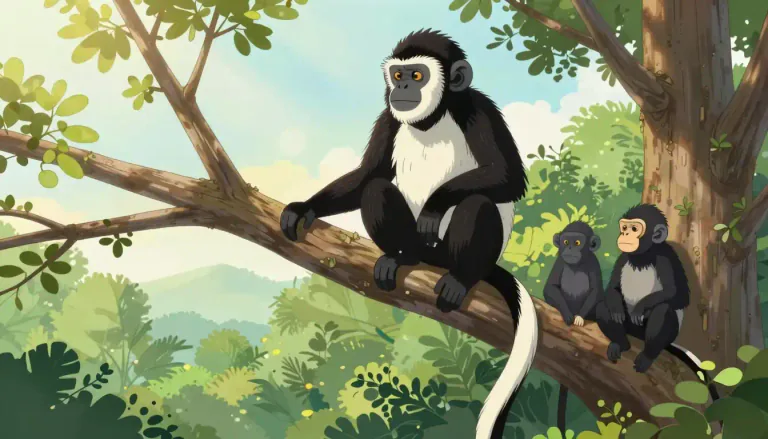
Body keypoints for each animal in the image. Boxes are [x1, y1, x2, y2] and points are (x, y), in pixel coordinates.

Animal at [279, 29, 537, 439]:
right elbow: (369, 176)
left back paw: (461, 279)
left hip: (456, 252)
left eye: (417, 76)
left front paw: (434, 206)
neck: (430, 120)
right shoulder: (388, 116)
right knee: (377, 190)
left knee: (476, 203)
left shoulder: (480, 109)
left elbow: (508, 176)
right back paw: (400, 259)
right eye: (398, 75)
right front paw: (305, 208)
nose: (400, 88)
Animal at [543, 221, 603, 433]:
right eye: (566, 242)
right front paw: (568, 315)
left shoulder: (594, 263)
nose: (569, 248)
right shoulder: (559, 262)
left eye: (577, 243)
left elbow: (596, 291)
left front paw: (578, 318)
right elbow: (550, 288)